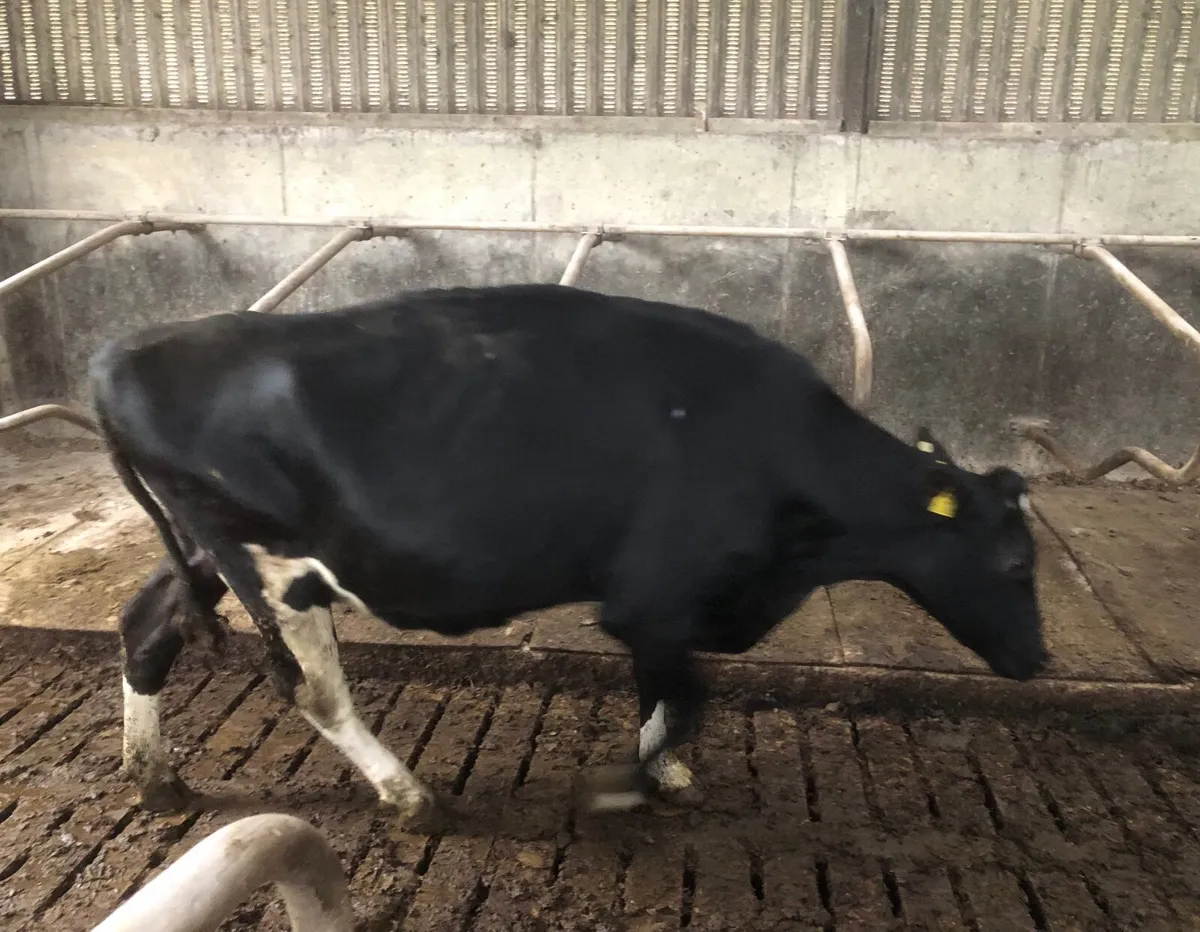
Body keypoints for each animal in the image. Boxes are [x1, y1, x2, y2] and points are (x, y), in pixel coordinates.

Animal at [89, 283, 1048, 830]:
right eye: (1014, 565)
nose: (1040, 659)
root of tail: (123, 352)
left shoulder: (669, 611)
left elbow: (668, 694)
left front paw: (666, 775)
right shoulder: (652, 598)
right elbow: (685, 695)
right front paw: (624, 784)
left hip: (205, 550)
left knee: (148, 623)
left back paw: (155, 778)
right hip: (273, 567)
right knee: (314, 692)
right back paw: (411, 798)